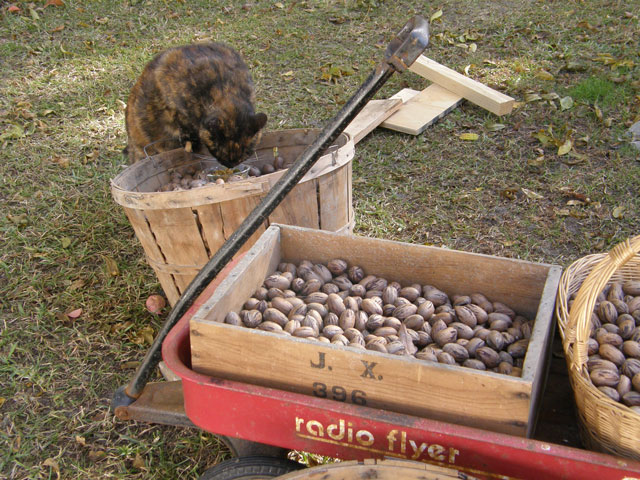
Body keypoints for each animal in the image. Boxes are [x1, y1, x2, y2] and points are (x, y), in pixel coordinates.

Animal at [125, 43, 268, 167]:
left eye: (247, 152)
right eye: (218, 150)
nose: (231, 165)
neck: (225, 88)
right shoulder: (171, 100)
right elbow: (182, 122)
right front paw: (191, 143)